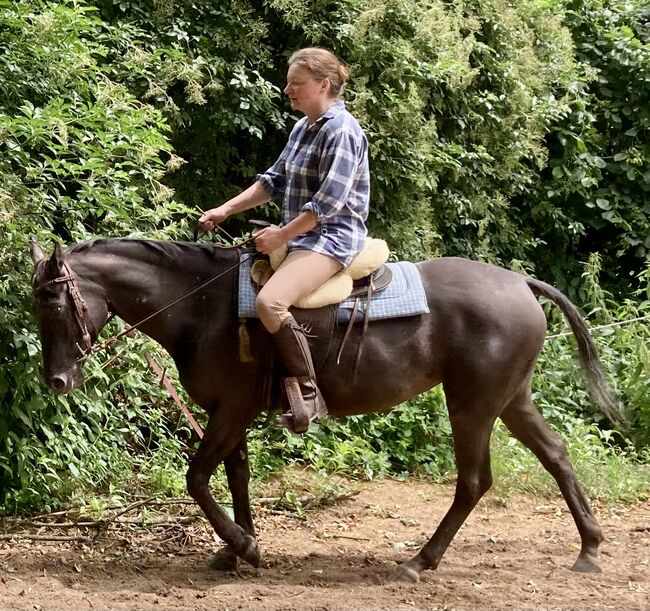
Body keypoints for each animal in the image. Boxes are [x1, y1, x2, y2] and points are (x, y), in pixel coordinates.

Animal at [29, 235, 616, 584]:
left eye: (54, 304)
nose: (56, 381)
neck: (202, 306)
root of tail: (520, 282)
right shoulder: (231, 412)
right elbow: (237, 477)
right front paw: (238, 550)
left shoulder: (230, 411)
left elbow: (196, 478)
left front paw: (245, 545)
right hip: (511, 399)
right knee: (557, 455)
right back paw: (589, 548)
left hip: (471, 404)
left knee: (473, 481)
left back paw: (418, 562)